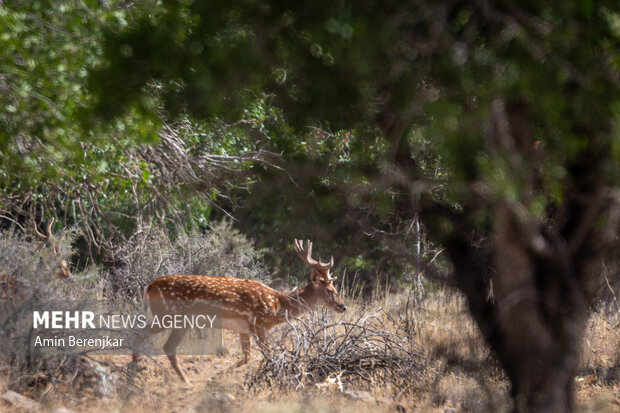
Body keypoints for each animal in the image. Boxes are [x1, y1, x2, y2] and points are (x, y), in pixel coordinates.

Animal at [134, 238, 346, 384]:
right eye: (330, 290)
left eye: (335, 288)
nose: (343, 306)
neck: (278, 304)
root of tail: (149, 286)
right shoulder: (258, 324)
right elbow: (269, 354)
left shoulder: (244, 329)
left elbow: (246, 358)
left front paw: (215, 377)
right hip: (172, 315)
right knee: (158, 341)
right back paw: (180, 379)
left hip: (171, 317)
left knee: (150, 337)